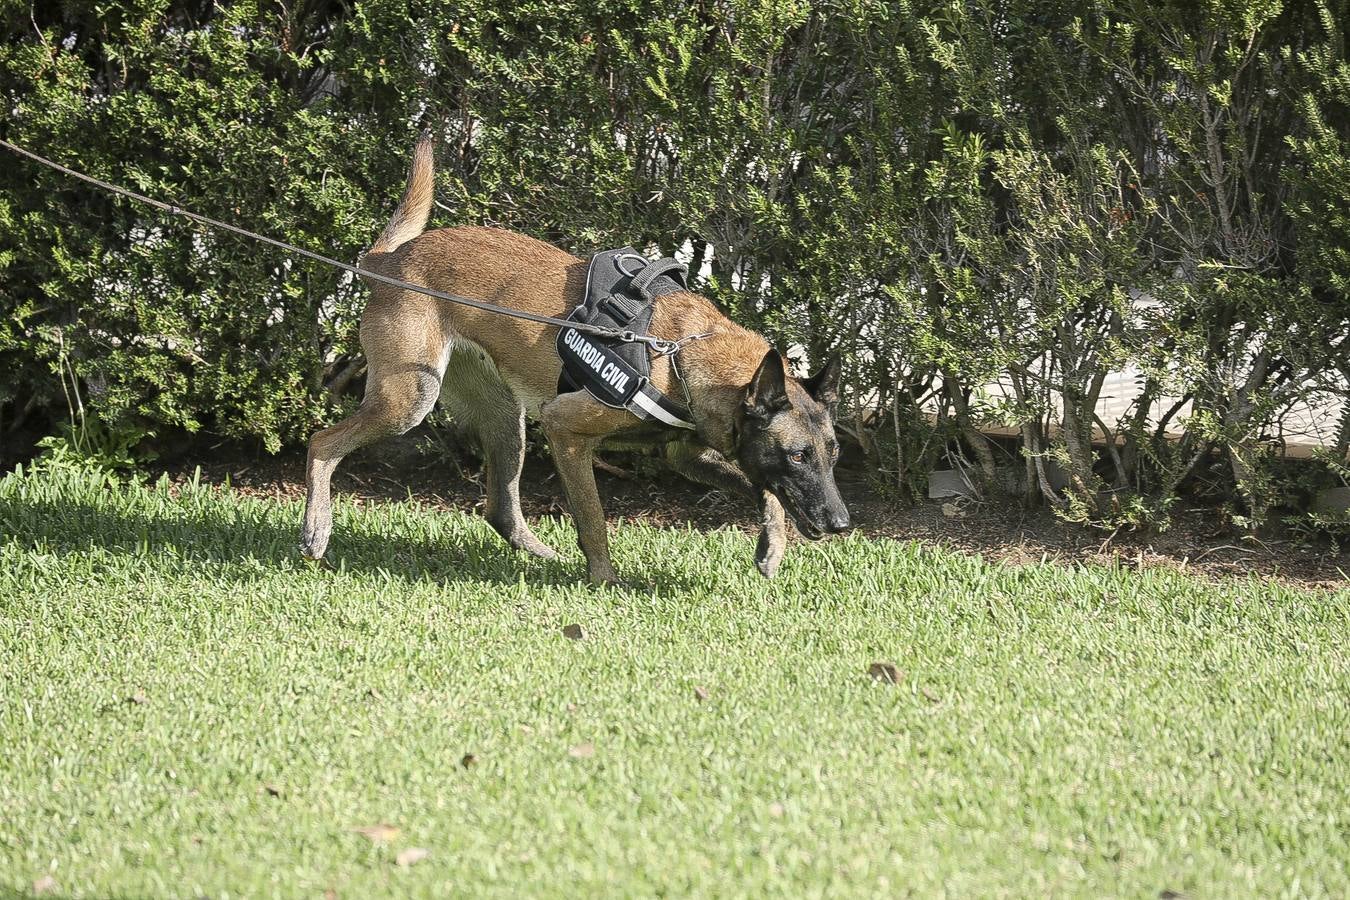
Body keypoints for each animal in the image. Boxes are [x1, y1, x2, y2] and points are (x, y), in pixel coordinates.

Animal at [302, 137, 847, 580]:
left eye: (833, 454)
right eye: (798, 455)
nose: (842, 523)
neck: (681, 352)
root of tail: (385, 263)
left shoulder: (686, 454)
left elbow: (766, 490)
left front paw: (771, 547)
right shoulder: (565, 428)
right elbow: (594, 519)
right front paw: (605, 582)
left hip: (505, 417)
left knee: (500, 508)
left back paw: (542, 555)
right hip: (410, 400)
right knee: (321, 443)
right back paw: (316, 528)